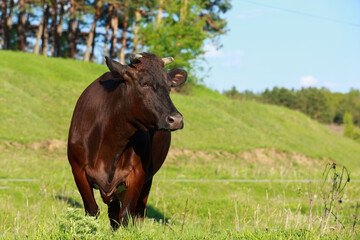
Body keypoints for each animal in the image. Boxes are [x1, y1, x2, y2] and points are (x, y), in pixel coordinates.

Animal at [66, 52, 187, 229]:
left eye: (170, 86)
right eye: (144, 83)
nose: (176, 119)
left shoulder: (138, 174)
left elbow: (126, 214)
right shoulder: (78, 170)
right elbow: (92, 211)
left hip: (146, 181)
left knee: (138, 213)